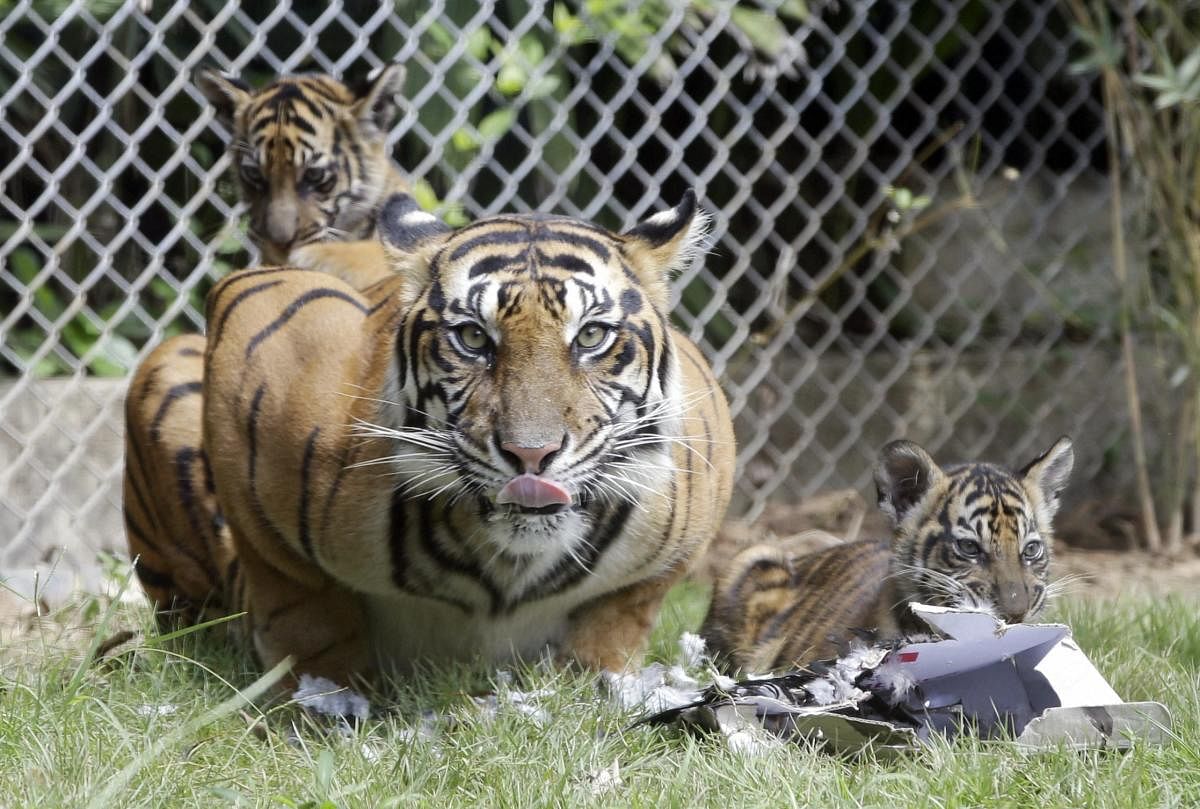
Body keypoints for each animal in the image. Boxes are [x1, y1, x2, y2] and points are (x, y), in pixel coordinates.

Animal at [126, 190, 734, 686]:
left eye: (590, 337)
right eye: (473, 338)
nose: (530, 454)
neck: (507, 569)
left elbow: (619, 617)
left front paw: (597, 684)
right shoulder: (256, 326)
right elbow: (303, 606)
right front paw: (319, 703)